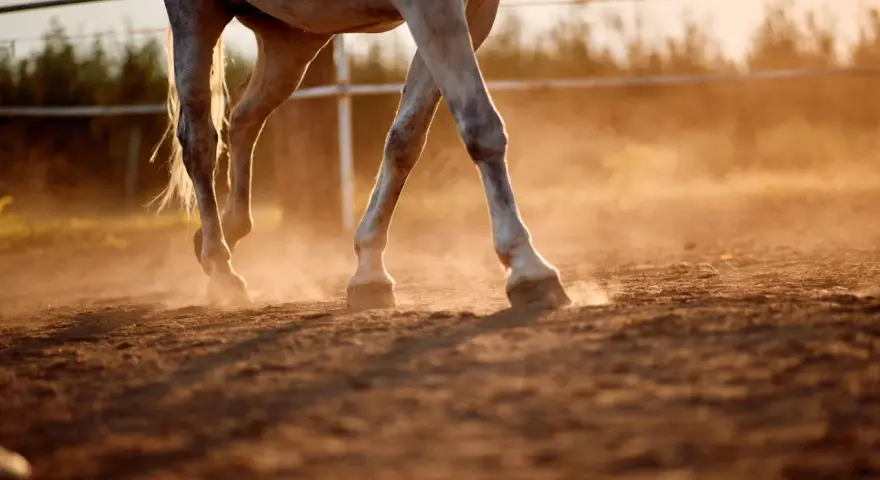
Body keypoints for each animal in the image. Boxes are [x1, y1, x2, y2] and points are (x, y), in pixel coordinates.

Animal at [155, 0, 572, 310]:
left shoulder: (473, 14)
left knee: (243, 117)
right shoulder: (433, 8)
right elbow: (479, 124)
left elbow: (406, 139)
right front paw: (528, 267)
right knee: (199, 140)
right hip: (197, 17)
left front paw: (369, 271)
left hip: (293, 38)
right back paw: (221, 269)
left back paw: (225, 234)